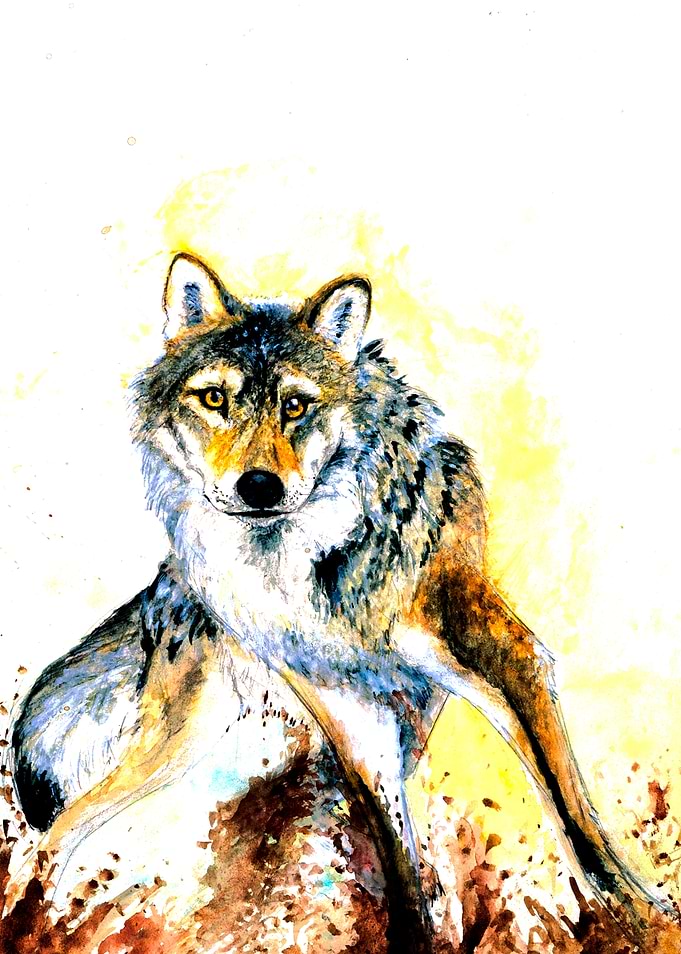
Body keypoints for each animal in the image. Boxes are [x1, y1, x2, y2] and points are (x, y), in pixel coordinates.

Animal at [12, 254, 671, 951]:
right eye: (215, 398)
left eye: (297, 405)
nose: (259, 486)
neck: (308, 565)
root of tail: (167, 584)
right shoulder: (356, 719)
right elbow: (401, 866)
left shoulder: (507, 659)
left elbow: (573, 822)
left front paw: (648, 922)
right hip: (178, 738)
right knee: (57, 836)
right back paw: (31, 918)